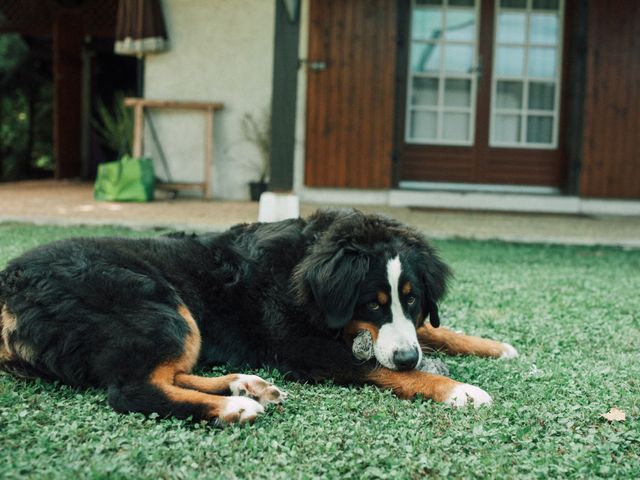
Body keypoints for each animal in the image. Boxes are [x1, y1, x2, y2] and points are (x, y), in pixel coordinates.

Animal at [0, 210, 516, 424]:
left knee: (168, 374)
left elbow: (436, 331)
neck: (300, 267)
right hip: (159, 304)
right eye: (370, 303)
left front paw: (494, 346)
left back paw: (244, 385)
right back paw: (235, 407)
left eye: (410, 300)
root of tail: (9, 290)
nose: (408, 357)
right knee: (132, 389)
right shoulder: (304, 349)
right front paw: (459, 390)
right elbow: (380, 369)